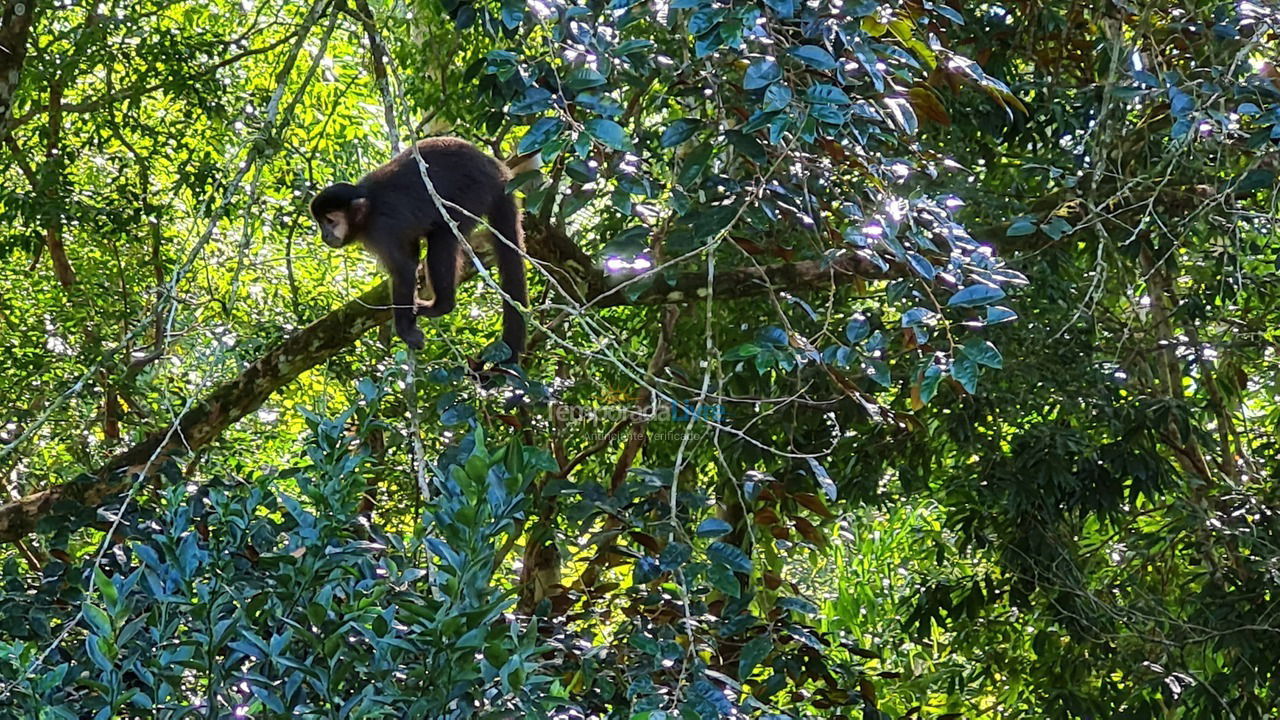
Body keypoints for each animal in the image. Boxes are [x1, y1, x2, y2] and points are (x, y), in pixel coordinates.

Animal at [311, 135, 529, 358]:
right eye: (320, 222)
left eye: (330, 221)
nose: (324, 235)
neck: (367, 212)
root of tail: (496, 170)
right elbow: (412, 254)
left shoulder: (382, 230)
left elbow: (404, 270)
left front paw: (404, 330)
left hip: (472, 194)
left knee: (443, 236)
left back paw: (442, 306)